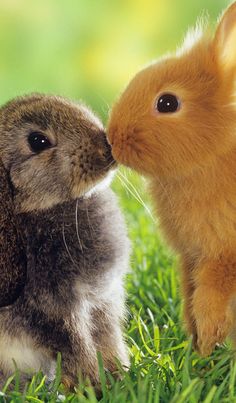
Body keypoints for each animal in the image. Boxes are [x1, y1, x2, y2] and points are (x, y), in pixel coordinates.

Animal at [0, 93, 130, 390]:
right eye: (38, 141)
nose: (105, 148)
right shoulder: (55, 311)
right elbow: (76, 347)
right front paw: (94, 385)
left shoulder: (102, 301)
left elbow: (108, 339)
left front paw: (122, 375)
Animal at [108, 3, 236, 356]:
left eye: (168, 103)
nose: (111, 137)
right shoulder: (189, 258)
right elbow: (190, 299)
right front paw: (198, 348)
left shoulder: (221, 258)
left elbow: (208, 303)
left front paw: (207, 349)